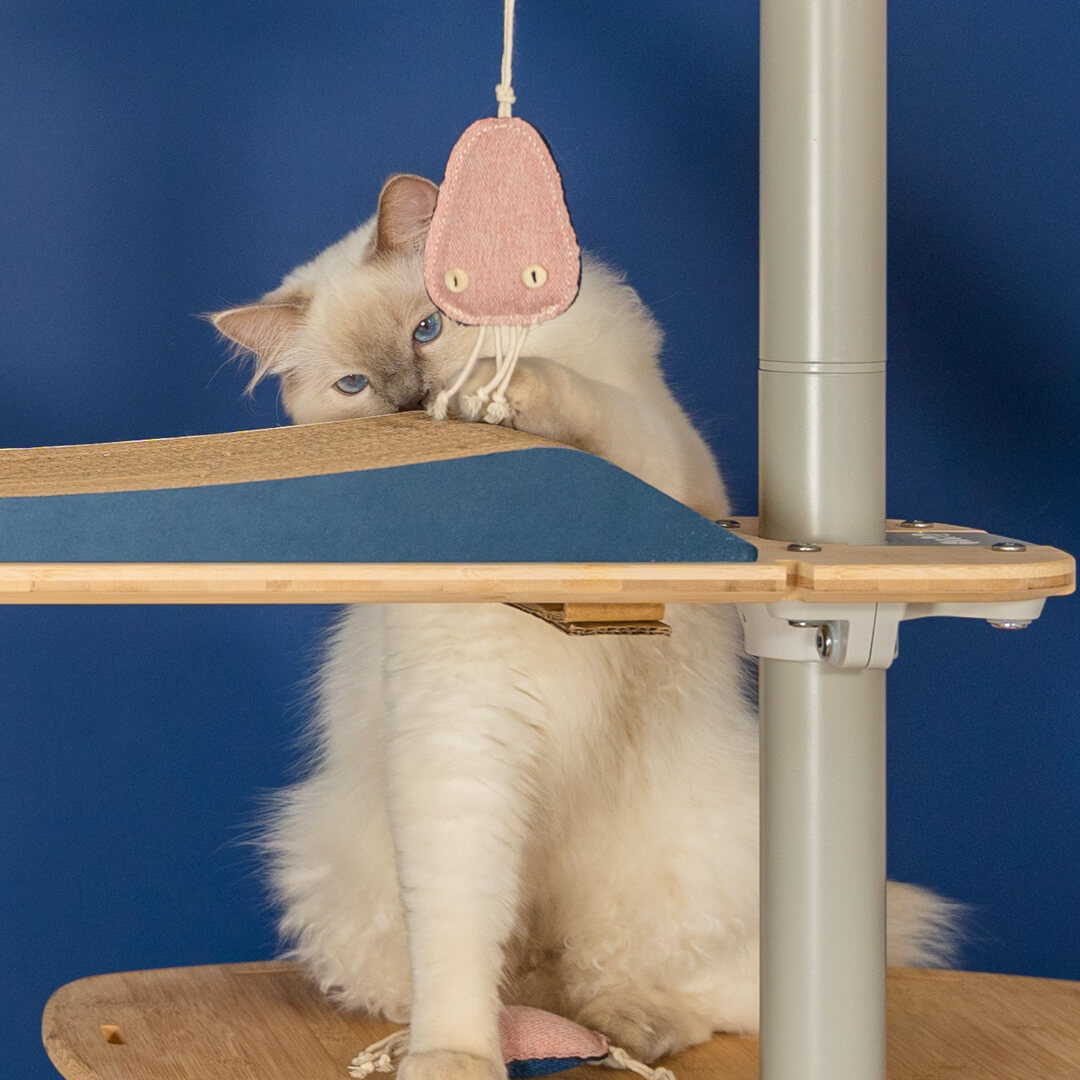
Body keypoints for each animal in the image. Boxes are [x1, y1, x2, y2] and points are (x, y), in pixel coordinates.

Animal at [214, 177, 959, 1080]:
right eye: (354, 387)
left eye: (427, 331)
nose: (408, 401)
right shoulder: (459, 736)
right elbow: (458, 937)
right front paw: (455, 1059)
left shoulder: (666, 466)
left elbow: (585, 410)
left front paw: (504, 397)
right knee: (512, 985)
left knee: (693, 994)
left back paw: (633, 1026)